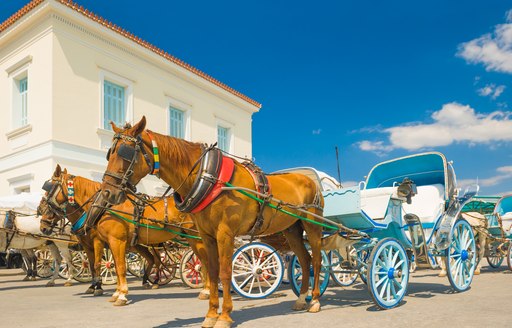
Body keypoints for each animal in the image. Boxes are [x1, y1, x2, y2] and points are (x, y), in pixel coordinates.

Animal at [38, 165, 210, 306]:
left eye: (49, 190)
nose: (43, 226)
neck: (104, 207)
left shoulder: (110, 241)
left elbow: (116, 266)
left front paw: (118, 294)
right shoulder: (103, 244)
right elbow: (108, 265)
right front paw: (112, 292)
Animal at [92, 116, 324, 326]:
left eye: (125, 152)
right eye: (109, 153)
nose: (107, 192)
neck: (209, 178)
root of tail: (310, 180)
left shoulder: (225, 234)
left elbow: (225, 272)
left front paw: (225, 316)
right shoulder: (207, 235)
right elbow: (211, 271)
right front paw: (211, 314)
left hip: (313, 226)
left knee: (316, 259)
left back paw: (314, 300)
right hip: (292, 230)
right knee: (304, 260)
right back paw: (302, 298)